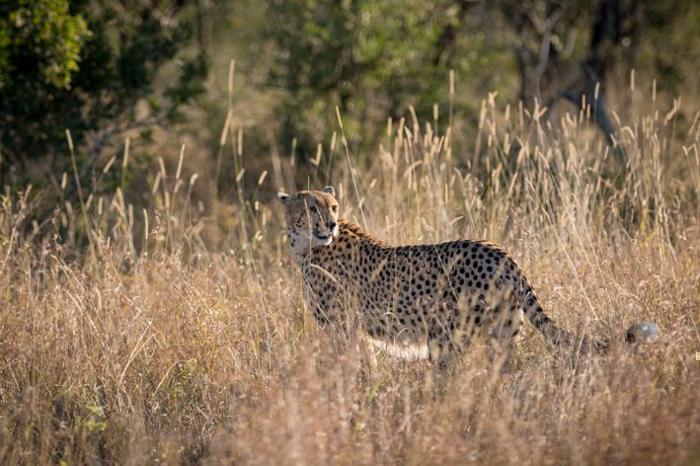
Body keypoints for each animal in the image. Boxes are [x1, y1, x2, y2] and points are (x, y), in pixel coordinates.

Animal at [278, 187, 656, 366]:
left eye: (333, 206)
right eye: (312, 208)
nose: (330, 224)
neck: (309, 246)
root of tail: (499, 250)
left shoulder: (344, 327)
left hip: (451, 335)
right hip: (503, 331)